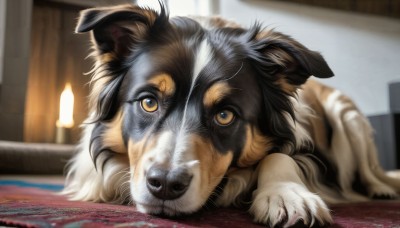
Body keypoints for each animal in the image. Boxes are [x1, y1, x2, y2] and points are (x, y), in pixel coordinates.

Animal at [62, 3, 400, 228]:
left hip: (347, 117)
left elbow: (279, 156)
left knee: (368, 170)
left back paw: (379, 189)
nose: (166, 185)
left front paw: (287, 196)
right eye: (148, 102)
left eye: (225, 115)